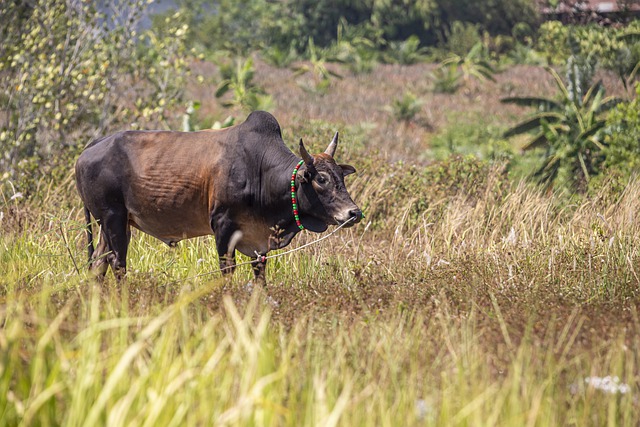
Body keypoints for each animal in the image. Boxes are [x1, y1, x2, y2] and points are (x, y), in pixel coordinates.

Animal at [75, 110, 362, 284]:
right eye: (321, 179)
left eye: (341, 176)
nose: (354, 213)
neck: (260, 170)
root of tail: (89, 148)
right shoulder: (223, 226)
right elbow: (227, 270)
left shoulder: (259, 242)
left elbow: (260, 274)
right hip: (112, 218)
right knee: (117, 262)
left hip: (113, 223)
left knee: (98, 264)